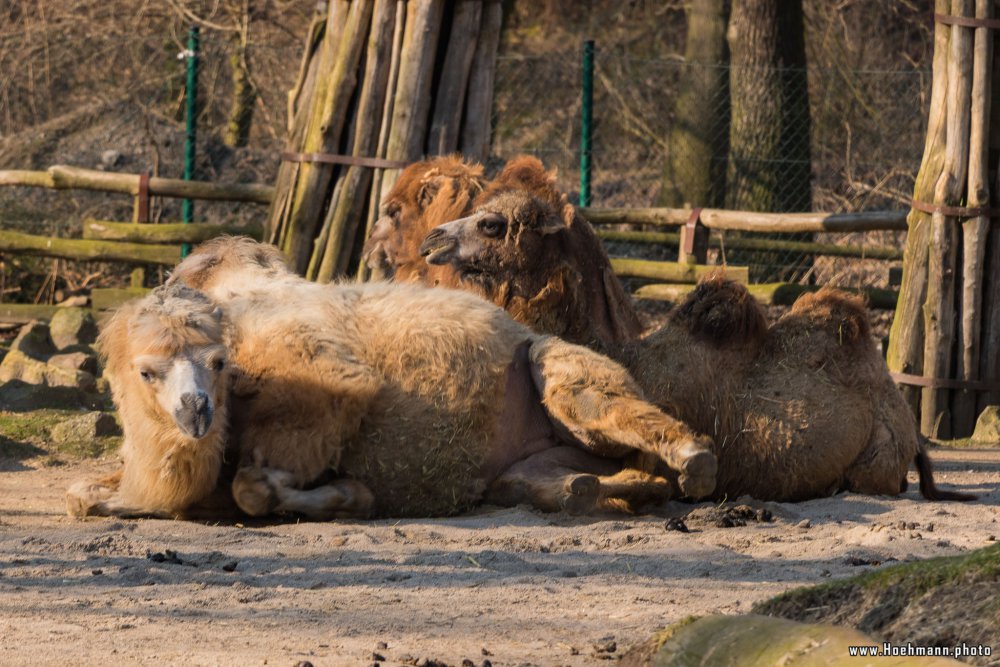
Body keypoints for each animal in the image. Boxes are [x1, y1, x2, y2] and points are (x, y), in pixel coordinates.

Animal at [68, 236, 720, 520]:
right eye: (147, 371)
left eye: (220, 363)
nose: (197, 410)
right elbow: (83, 496)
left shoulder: (322, 382)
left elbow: (252, 487)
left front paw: (349, 497)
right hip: (536, 455)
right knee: (545, 479)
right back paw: (587, 490)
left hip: (553, 362)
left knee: (599, 403)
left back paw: (693, 461)